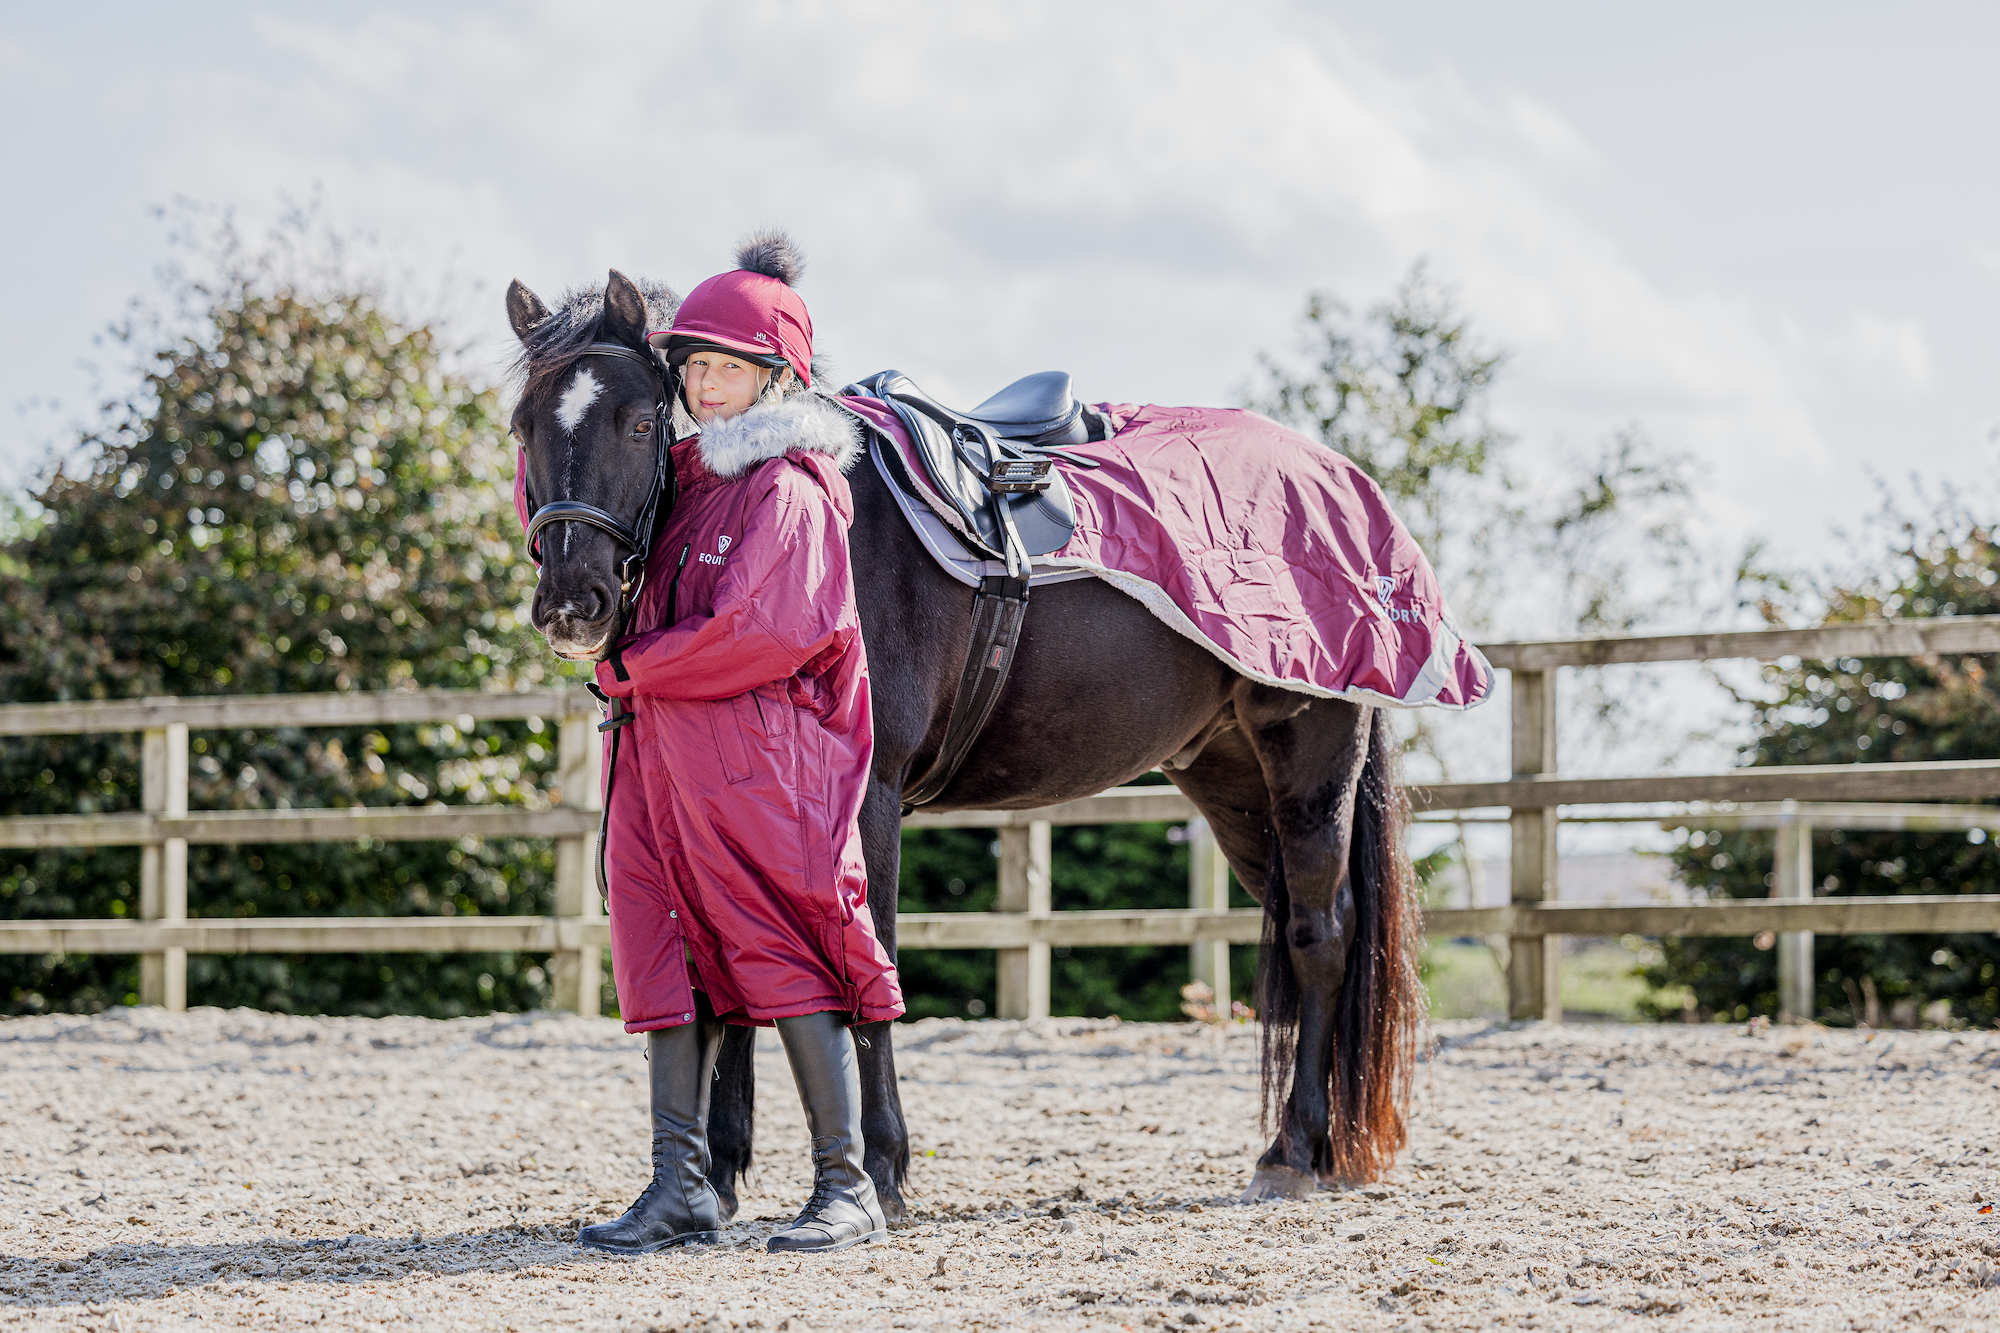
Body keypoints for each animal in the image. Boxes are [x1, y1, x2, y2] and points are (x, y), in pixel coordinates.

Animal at [508, 270, 1432, 1216]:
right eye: (524, 426)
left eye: (639, 421)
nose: (573, 602)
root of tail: (1342, 481)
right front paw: (724, 1171)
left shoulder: (863, 795)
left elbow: (866, 958)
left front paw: (881, 1169)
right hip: (1233, 782)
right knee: (1302, 922)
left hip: (1309, 761)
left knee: (1321, 934)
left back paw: (1293, 1149)